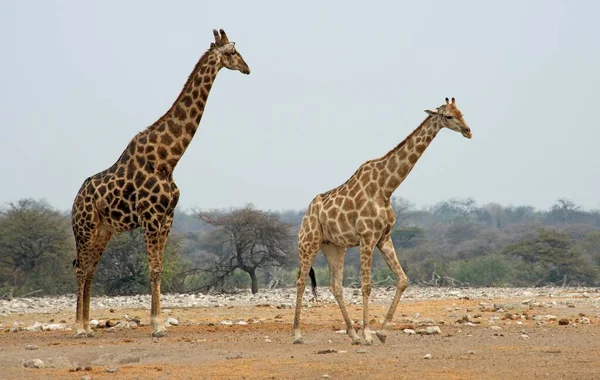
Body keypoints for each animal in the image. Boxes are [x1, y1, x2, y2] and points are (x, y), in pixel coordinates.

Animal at [71, 29, 250, 338]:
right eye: (232, 53)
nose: (247, 68)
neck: (168, 159)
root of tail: (74, 201)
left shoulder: (168, 217)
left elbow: (159, 268)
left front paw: (161, 322)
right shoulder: (151, 218)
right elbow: (152, 269)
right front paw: (156, 325)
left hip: (103, 231)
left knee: (91, 269)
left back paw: (87, 325)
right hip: (85, 229)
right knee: (81, 269)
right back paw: (80, 329)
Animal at [292, 97, 474, 344]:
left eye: (461, 112)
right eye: (448, 116)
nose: (468, 131)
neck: (386, 188)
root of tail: (307, 212)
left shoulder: (384, 238)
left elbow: (403, 279)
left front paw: (381, 331)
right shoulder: (367, 237)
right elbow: (366, 286)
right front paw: (368, 332)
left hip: (334, 246)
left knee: (335, 285)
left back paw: (352, 334)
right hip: (309, 242)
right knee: (301, 280)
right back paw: (297, 334)